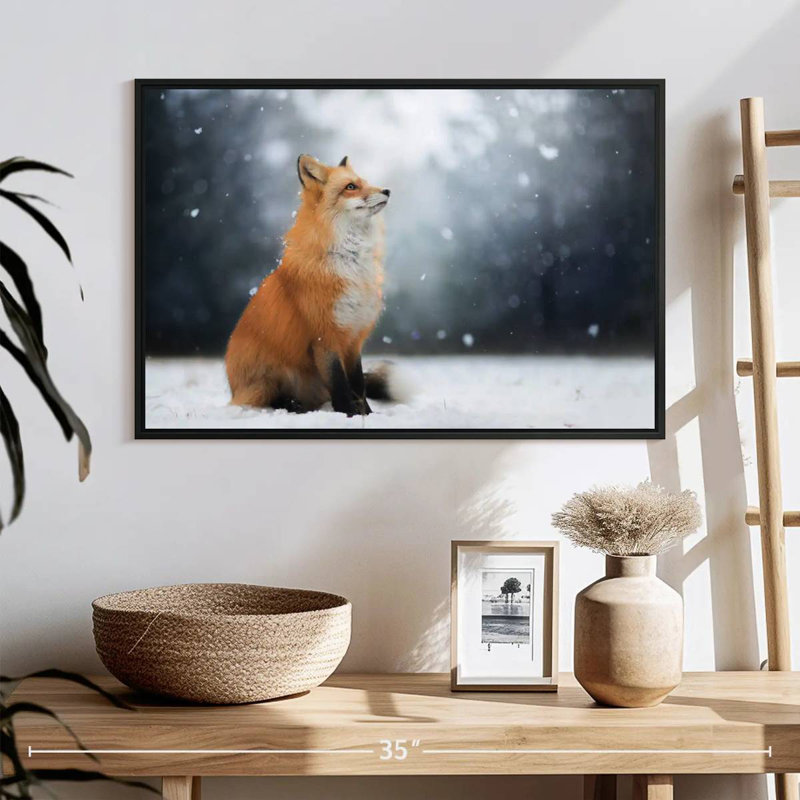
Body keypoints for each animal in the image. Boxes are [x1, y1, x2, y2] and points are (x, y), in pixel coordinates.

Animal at [225, 154, 393, 416]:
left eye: (364, 182)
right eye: (351, 187)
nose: (387, 190)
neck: (350, 262)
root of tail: (233, 390)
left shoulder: (353, 337)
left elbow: (358, 384)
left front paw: (367, 415)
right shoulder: (325, 337)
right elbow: (340, 385)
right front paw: (348, 415)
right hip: (268, 380)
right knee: (270, 399)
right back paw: (292, 405)